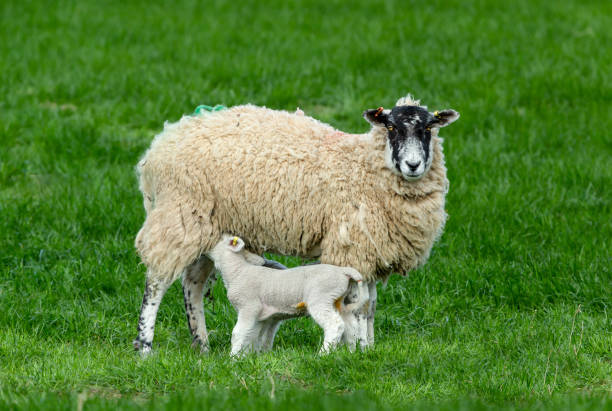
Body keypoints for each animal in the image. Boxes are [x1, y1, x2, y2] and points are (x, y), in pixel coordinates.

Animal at [208, 237, 370, 356]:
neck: (237, 271)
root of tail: (344, 271)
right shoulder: (260, 316)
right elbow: (253, 335)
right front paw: (249, 356)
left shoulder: (249, 307)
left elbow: (238, 333)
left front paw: (233, 358)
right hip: (341, 302)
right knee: (350, 326)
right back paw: (350, 352)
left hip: (320, 298)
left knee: (335, 325)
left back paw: (323, 354)